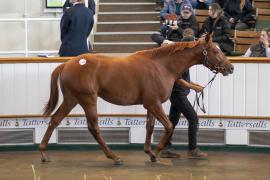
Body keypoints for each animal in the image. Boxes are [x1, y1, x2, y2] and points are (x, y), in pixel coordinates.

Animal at [39, 33, 234, 165]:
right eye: (215, 50)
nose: (230, 68)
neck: (162, 66)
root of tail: (67, 64)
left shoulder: (151, 105)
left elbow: (150, 127)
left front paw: (150, 152)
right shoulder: (153, 104)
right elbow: (169, 126)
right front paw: (156, 153)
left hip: (71, 99)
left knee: (55, 120)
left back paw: (43, 153)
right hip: (88, 100)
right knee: (93, 128)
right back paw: (115, 157)